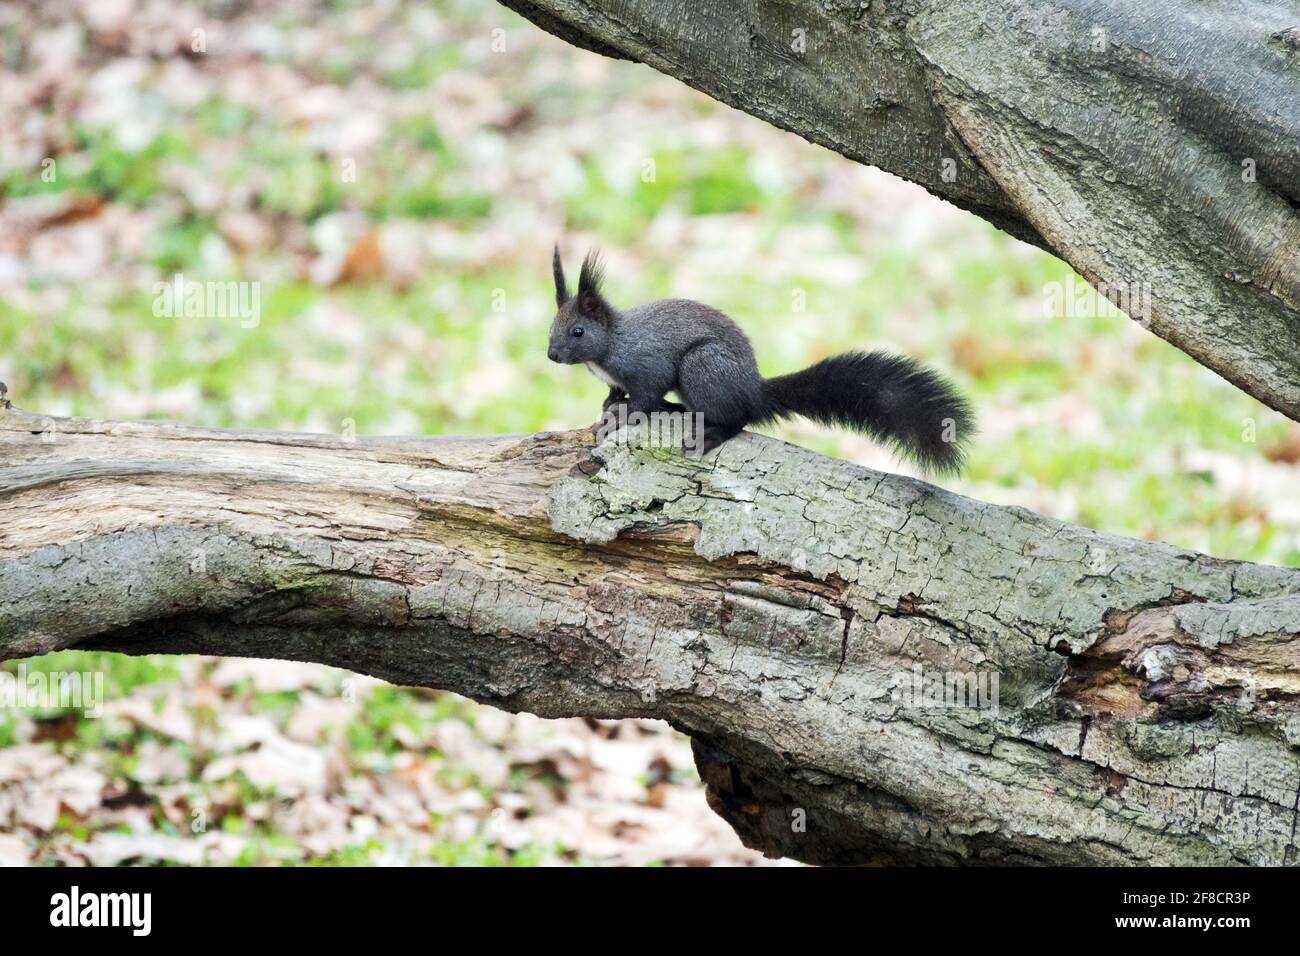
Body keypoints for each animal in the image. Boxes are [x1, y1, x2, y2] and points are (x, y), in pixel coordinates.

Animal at [546, 246, 974, 472]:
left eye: (578, 331)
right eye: (552, 324)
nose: (551, 354)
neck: (610, 345)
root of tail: (754, 392)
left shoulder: (646, 364)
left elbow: (646, 396)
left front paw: (623, 414)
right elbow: (616, 393)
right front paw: (609, 404)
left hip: (702, 367)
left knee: (737, 419)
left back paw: (710, 433)